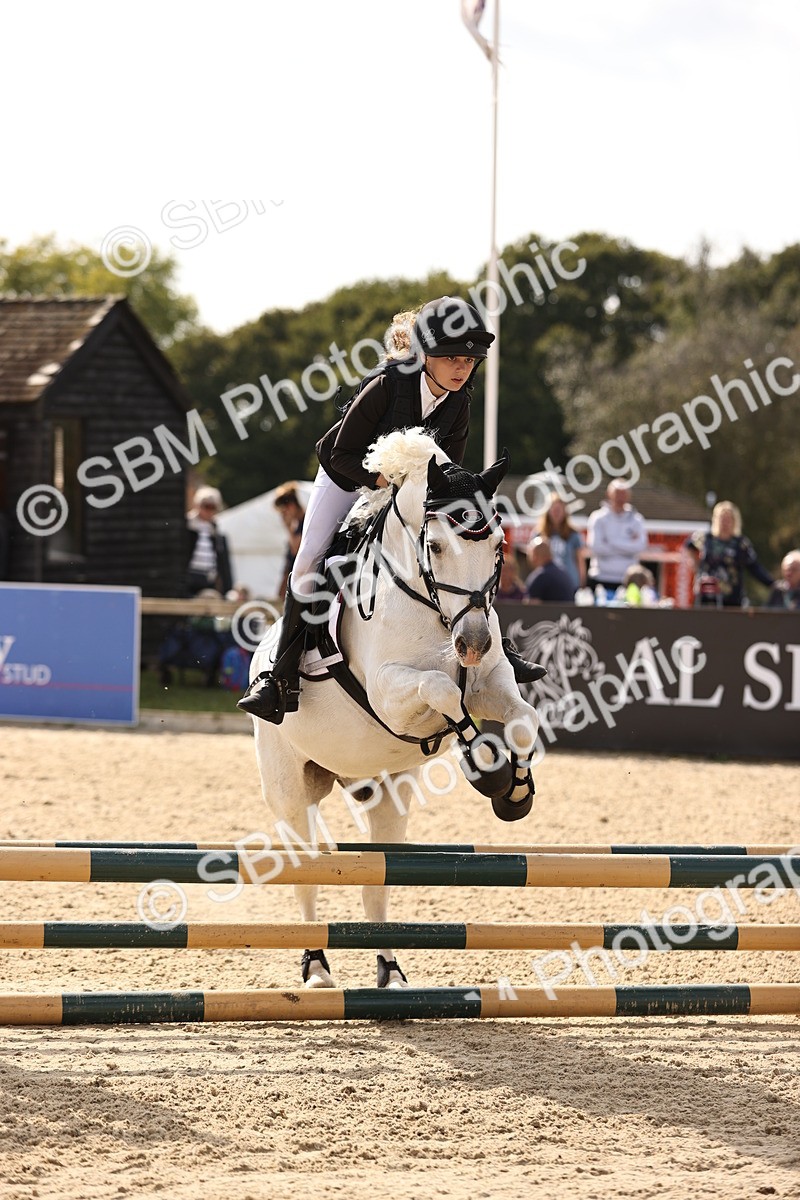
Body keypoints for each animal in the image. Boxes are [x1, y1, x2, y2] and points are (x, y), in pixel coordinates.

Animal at [248, 428, 540, 989]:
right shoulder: (389, 695)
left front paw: (515, 791)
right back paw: (316, 968)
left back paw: (391, 971)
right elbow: (443, 691)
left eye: (498, 546)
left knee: (375, 882)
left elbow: (522, 721)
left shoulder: (492, 681)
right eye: (436, 545)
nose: (471, 644)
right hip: (289, 790)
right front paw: (485, 768)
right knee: (306, 875)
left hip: (387, 796)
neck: (429, 605)